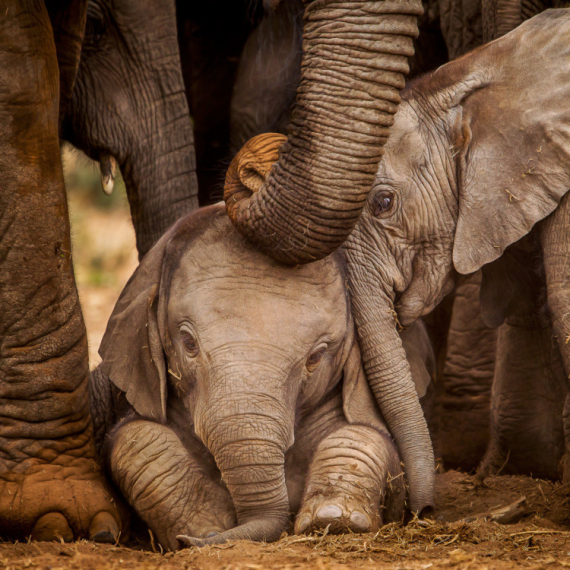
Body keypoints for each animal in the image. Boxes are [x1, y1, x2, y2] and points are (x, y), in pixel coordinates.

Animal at [92, 203, 434, 544]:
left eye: (316, 356)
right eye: (188, 343)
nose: (192, 542)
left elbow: (367, 436)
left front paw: (334, 519)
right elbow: (135, 436)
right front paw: (206, 527)